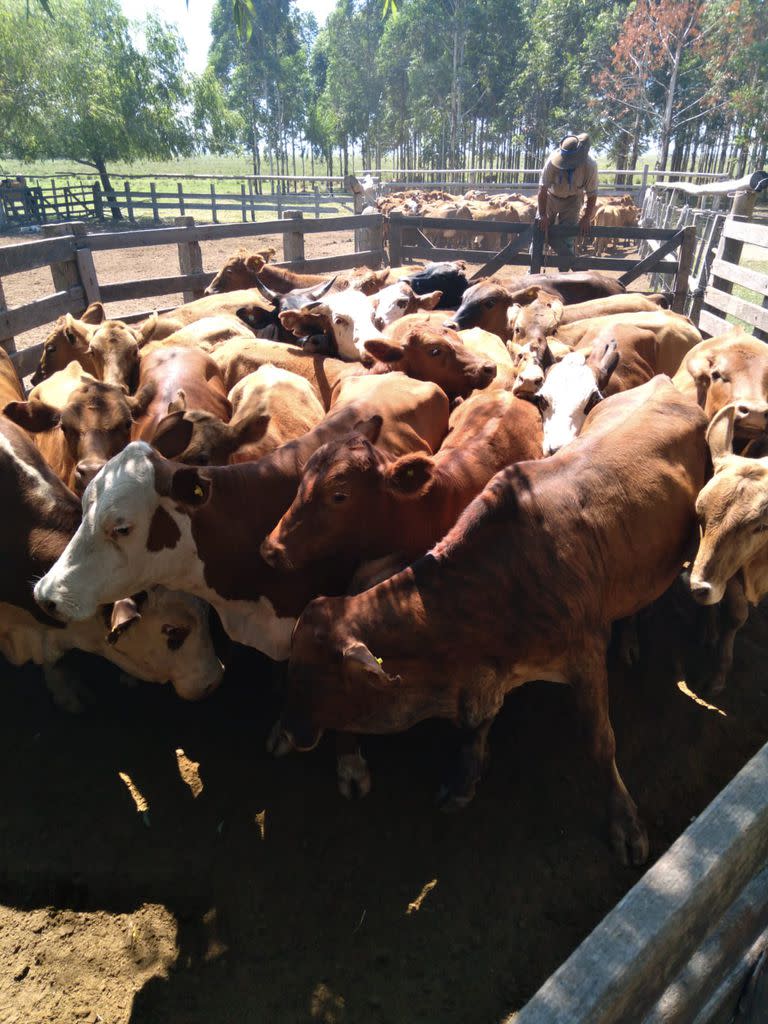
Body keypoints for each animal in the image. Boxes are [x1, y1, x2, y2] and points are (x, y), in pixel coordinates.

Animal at [276, 376, 708, 864]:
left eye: (315, 677)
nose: (288, 730)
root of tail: (663, 383)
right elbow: (481, 724)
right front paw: (465, 776)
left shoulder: (586, 658)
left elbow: (601, 742)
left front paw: (624, 820)